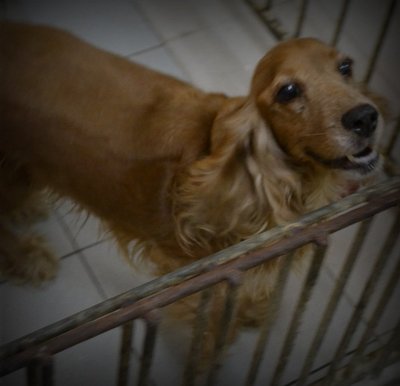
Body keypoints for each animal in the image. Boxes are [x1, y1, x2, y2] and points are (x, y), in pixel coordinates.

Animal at [0, 19, 384, 358]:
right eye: (287, 91)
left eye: (346, 66)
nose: (365, 117)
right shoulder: (208, 285)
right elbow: (215, 328)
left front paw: (253, 311)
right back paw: (30, 257)